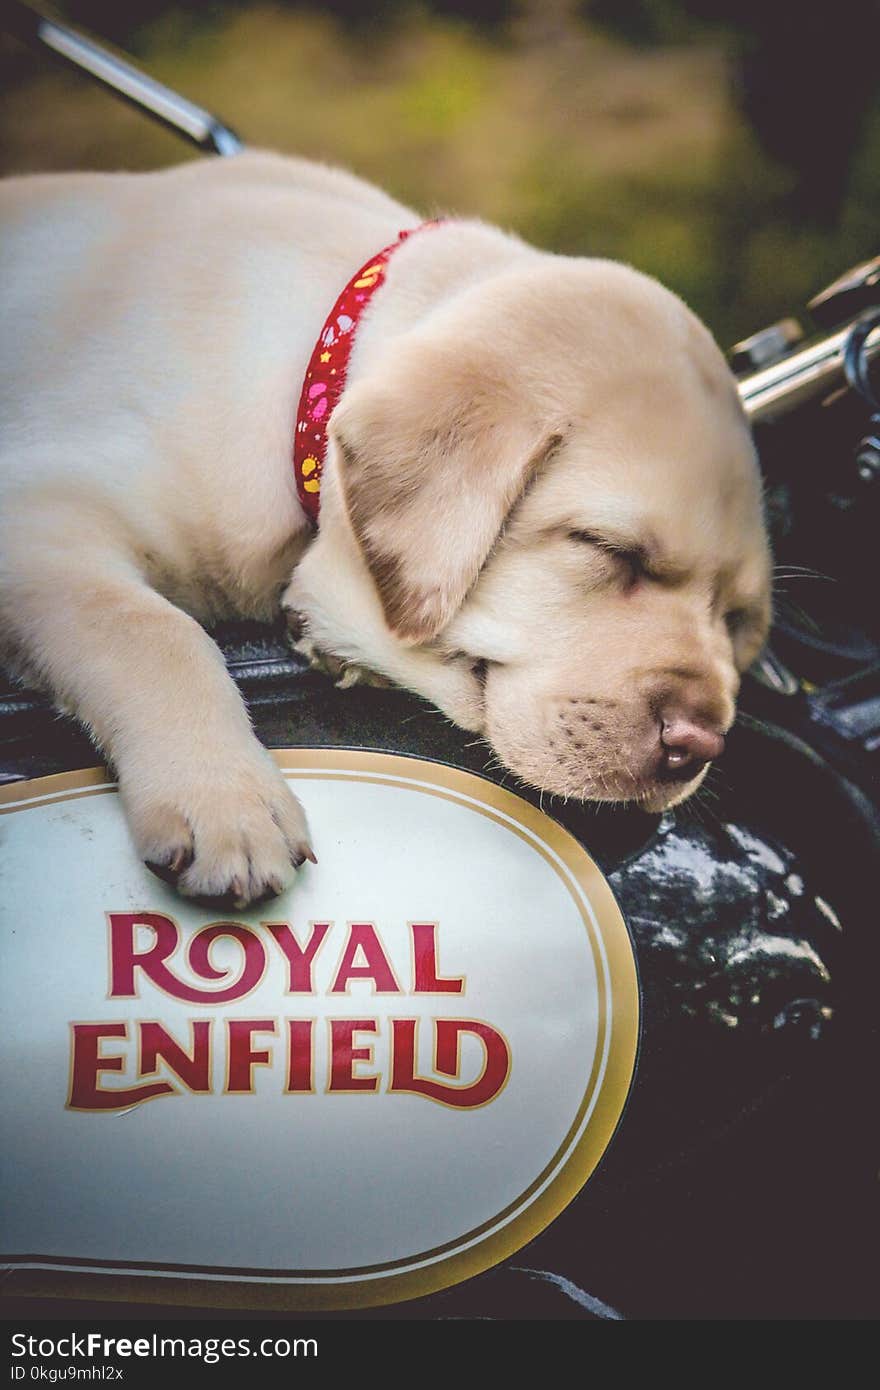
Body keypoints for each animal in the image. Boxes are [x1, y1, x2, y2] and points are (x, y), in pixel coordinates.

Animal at [0, 152, 767, 906]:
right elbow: (148, 628)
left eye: (735, 619)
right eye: (609, 550)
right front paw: (227, 802)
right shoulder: (38, 507)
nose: (700, 745)